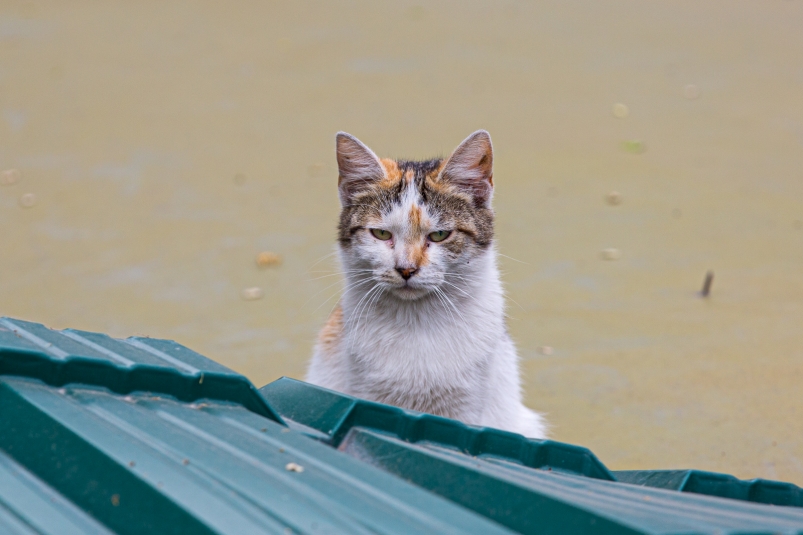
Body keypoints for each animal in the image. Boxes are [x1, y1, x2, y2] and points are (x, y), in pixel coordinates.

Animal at [304, 131, 548, 440]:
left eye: (440, 235)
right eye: (381, 234)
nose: (406, 268)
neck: (416, 321)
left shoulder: (468, 408)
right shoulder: (365, 395)